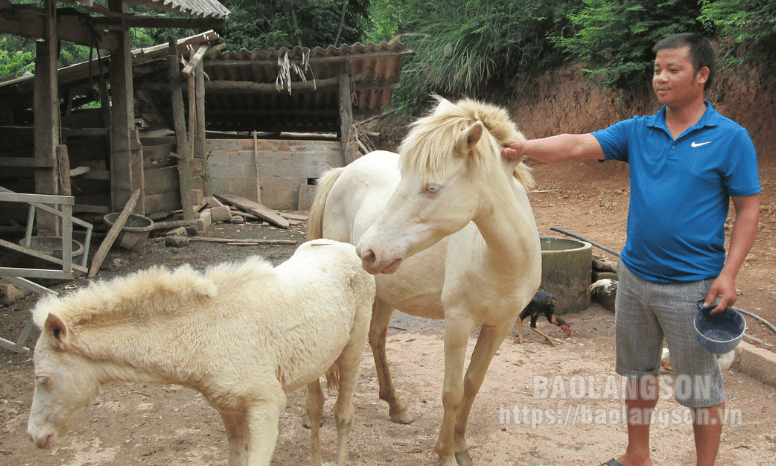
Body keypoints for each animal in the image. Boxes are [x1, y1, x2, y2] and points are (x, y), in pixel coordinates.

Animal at [306, 96, 544, 464]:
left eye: (432, 187)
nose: (368, 251)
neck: (501, 259)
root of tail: (344, 172)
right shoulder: (458, 324)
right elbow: (452, 392)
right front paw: (444, 453)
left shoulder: (500, 326)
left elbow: (473, 383)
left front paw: (461, 447)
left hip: (385, 291)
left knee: (377, 338)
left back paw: (395, 405)